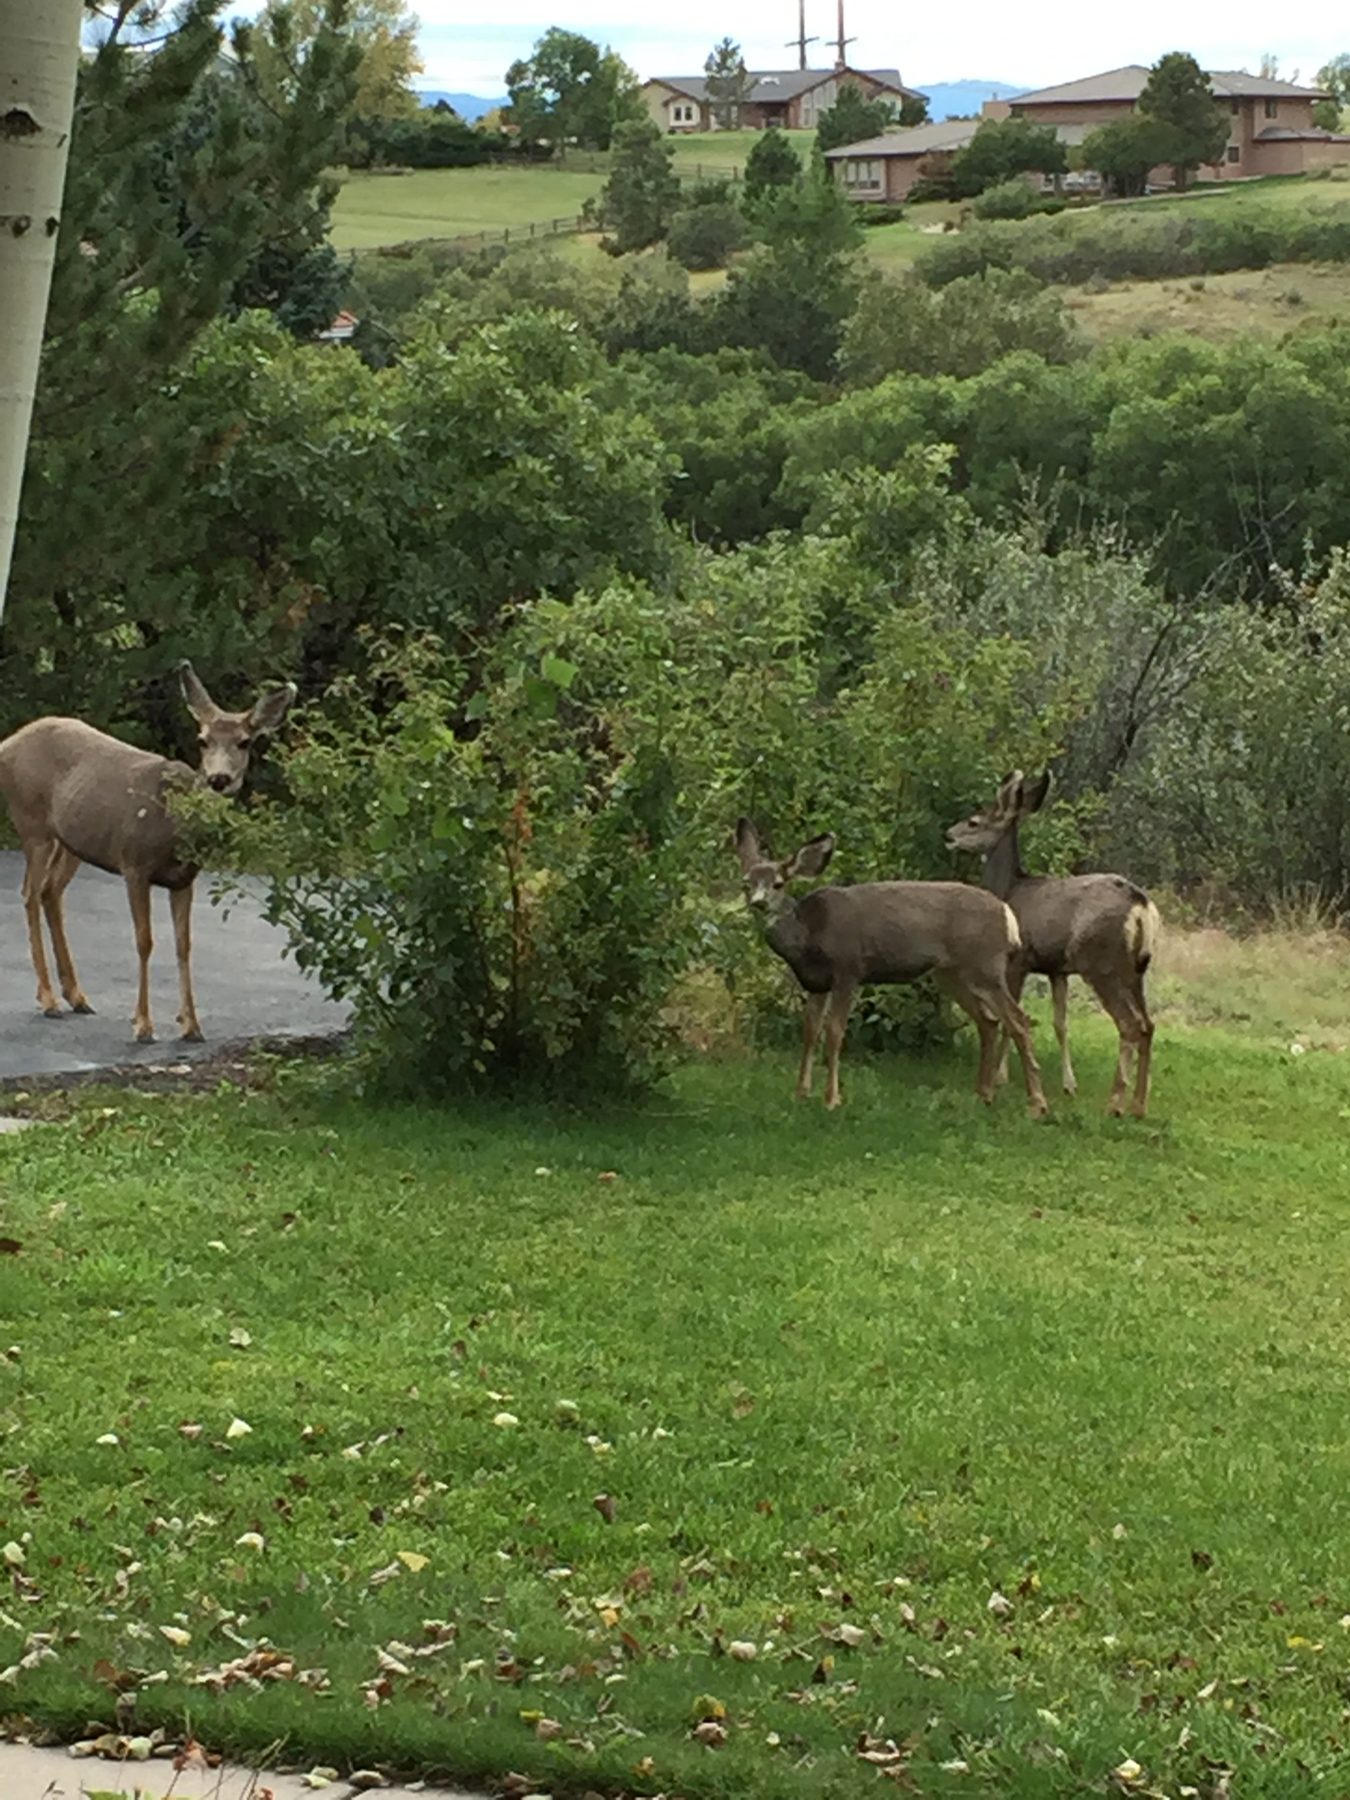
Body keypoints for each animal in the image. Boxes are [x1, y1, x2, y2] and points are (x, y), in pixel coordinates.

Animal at [0, 663, 296, 1045]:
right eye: (202, 740)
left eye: (245, 742)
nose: (218, 779)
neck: (174, 826)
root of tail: (8, 743)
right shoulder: (134, 864)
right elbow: (144, 941)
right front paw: (143, 1025)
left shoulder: (184, 879)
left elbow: (184, 945)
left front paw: (192, 1026)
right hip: (33, 824)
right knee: (29, 893)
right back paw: (49, 999)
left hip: (73, 841)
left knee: (50, 892)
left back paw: (76, 997)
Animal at [734, 818, 1048, 1118]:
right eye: (746, 883)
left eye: (778, 883)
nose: (758, 903)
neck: (808, 935)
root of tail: (1007, 913)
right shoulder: (816, 982)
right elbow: (810, 1030)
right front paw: (800, 1093)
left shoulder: (849, 969)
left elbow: (835, 1031)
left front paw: (832, 1099)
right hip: (951, 973)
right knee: (989, 1021)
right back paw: (984, 1095)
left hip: (985, 966)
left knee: (1019, 1020)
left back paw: (1037, 1104)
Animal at [945, 772, 1160, 1118]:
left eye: (974, 821)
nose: (949, 835)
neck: (1010, 889)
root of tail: (1141, 904)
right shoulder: (1057, 969)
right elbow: (1060, 1023)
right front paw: (1068, 1084)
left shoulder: (1017, 961)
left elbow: (1012, 1021)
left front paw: (1001, 1077)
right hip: (1135, 970)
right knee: (1148, 1025)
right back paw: (1139, 1106)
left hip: (1101, 964)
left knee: (1129, 1025)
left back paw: (1115, 1104)